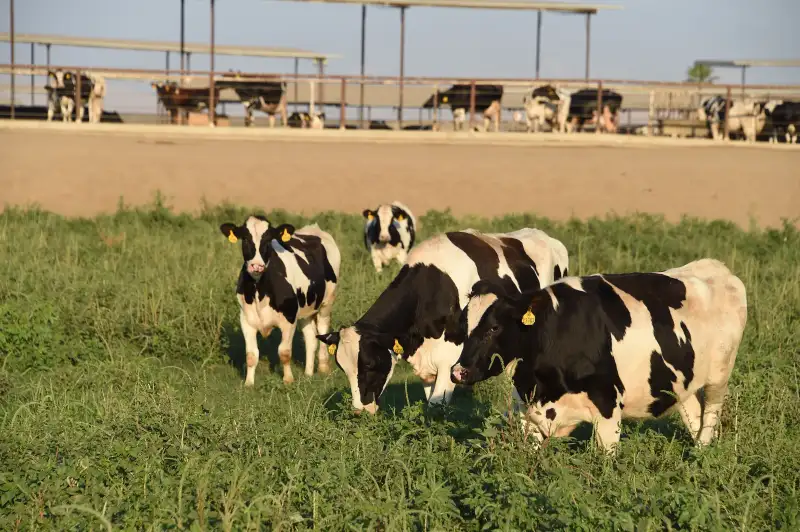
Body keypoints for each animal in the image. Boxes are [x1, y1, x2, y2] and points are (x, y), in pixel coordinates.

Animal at [220, 215, 342, 386]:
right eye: (245, 239)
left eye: (268, 240)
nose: (256, 266)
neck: (260, 292)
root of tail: (314, 228)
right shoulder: (246, 319)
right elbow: (251, 355)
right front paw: (249, 383)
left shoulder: (289, 319)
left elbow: (284, 352)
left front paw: (288, 379)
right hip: (306, 308)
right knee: (311, 338)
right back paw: (308, 373)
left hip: (326, 302)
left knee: (323, 329)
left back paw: (323, 368)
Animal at [316, 227, 572, 414]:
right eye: (342, 367)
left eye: (369, 364)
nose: (360, 409)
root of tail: (545, 236)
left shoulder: (449, 363)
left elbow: (435, 409)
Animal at [454, 258, 748, 454]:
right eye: (464, 324)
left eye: (494, 327)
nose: (458, 371)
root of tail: (718, 268)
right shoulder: (528, 412)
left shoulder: (608, 407)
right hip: (683, 383)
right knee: (693, 415)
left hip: (719, 378)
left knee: (710, 416)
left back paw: (702, 454)